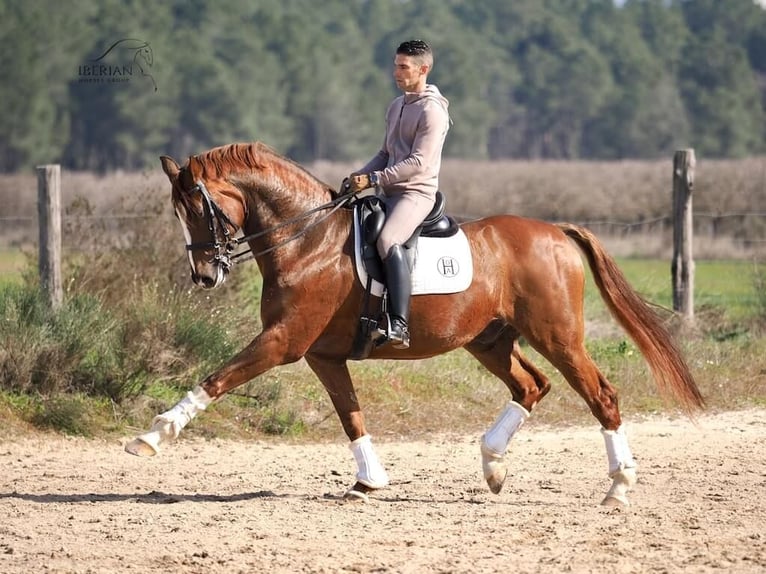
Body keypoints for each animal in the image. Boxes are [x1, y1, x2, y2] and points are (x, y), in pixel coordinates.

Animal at [125, 142, 704, 506]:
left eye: (197, 211)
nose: (204, 276)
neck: (307, 240)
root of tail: (556, 233)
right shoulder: (322, 355)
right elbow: (351, 416)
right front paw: (369, 481)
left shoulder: (283, 342)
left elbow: (217, 378)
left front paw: (151, 437)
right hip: (489, 342)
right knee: (530, 386)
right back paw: (493, 465)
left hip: (557, 336)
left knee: (599, 395)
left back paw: (618, 487)